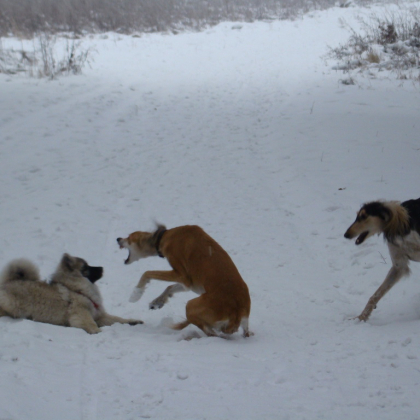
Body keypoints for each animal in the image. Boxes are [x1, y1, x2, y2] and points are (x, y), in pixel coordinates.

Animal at [116, 223, 251, 338]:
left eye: (129, 237)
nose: (118, 239)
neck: (164, 236)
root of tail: (236, 313)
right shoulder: (189, 284)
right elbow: (170, 287)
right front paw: (157, 302)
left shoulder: (181, 275)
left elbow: (147, 273)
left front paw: (136, 294)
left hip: (191, 306)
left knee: (210, 332)